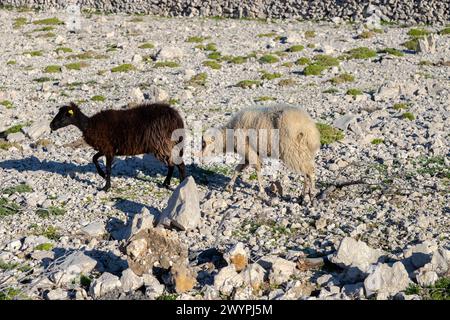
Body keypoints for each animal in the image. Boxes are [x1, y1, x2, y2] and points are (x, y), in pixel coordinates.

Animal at [50, 102, 187, 191]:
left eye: (65, 115)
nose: (51, 125)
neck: (89, 125)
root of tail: (177, 118)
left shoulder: (108, 149)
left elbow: (108, 168)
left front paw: (106, 187)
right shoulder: (107, 148)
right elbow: (94, 158)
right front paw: (102, 175)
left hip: (163, 143)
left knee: (179, 164)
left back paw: (181, 184)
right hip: (165, 145)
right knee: (171, 164)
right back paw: (166, 183)